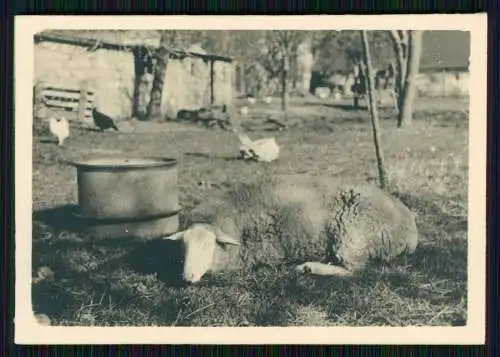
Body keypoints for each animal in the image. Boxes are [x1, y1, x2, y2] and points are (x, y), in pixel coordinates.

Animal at [163, 174, 418, 282]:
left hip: (352, 235)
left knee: (354, 270)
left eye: (209, 246)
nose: (187, 277)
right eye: (184, 246)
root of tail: (410, 229)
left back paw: (308, 267)